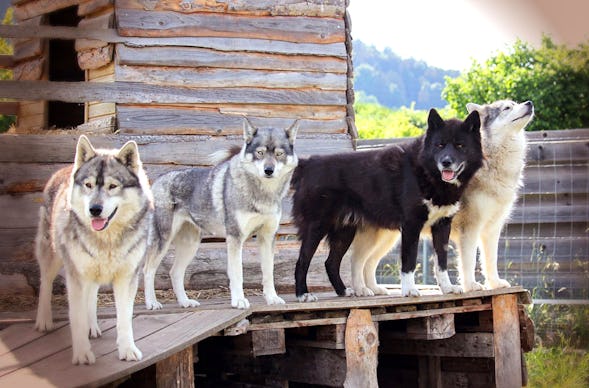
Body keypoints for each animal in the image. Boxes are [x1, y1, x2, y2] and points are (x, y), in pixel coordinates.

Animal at [290, 107, 482, 302]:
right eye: (440, 145)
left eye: (460, 145)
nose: (446, 162)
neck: (426, 172)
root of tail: (308, 163)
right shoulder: (411, 226)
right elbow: (409, 261)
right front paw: (409, 290)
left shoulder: (442, 225)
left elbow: (441, 261)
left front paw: (447, 288)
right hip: (316, 227)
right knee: (302, 261)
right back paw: (303, 294)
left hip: (345, 232)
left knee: (331, 262)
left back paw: (343, 291)